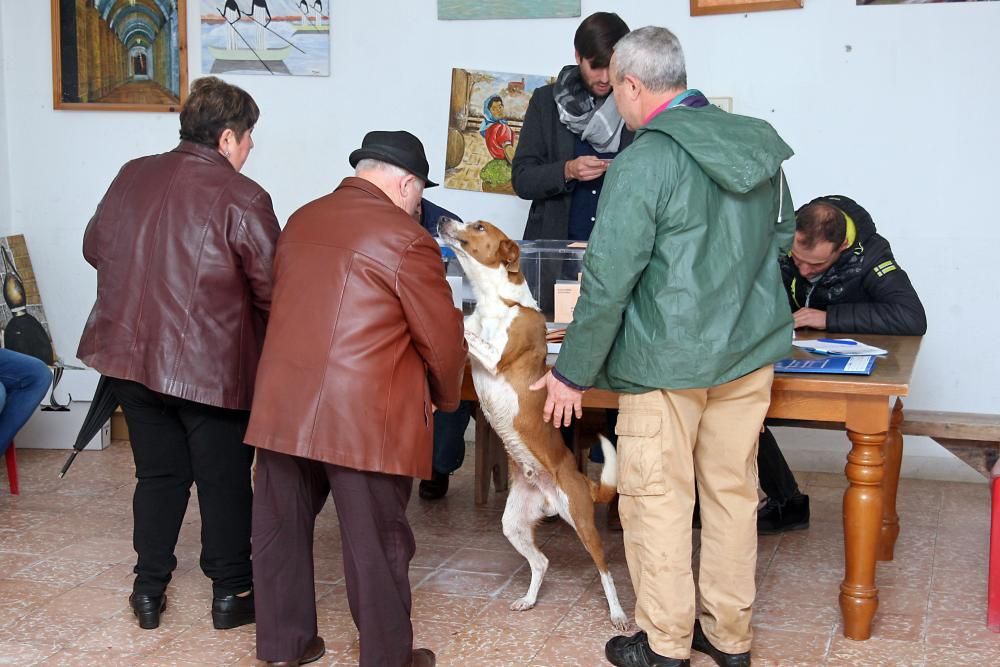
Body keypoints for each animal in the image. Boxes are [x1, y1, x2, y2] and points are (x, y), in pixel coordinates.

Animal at [438, 218, 624, 632]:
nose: (442, 220)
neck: (495, 301)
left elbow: (467, 331)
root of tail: (576, 480)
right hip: (514, 524)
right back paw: (529, 600)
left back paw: (618, 614)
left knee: (605, 572)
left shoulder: (495, 356)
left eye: (478, 226)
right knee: (541, 561)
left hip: (583, 523)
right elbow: (465, 331)